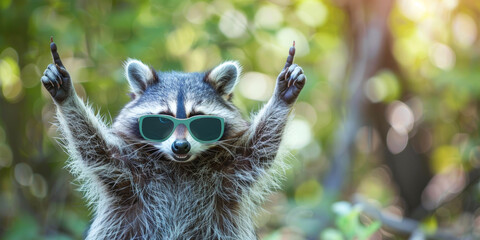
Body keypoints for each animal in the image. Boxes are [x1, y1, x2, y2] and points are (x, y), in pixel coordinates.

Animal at [40, 39, 304, 240]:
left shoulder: (229, 174)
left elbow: (259, 149)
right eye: (161, 121)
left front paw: (282, 98)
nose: (180, 146)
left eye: (199, 120)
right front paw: (67, 97)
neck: (178, 165)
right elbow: (94, 148)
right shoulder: (126, 175)